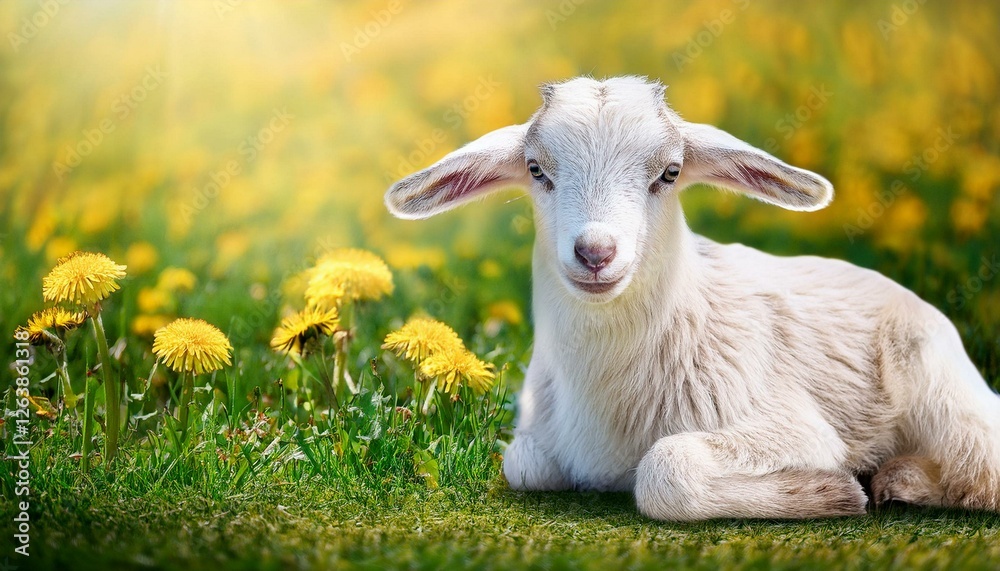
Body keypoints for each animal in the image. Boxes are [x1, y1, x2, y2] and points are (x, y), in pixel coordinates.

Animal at [383, 76, 1000, 521]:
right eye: (536, 170)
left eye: (670, 172)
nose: (595, 252)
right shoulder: (537, 439)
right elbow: (524, 463)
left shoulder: (792, 426)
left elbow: (666, 468)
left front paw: (835, 493)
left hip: (944, 396)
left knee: (982, 468)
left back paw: (902, 480)